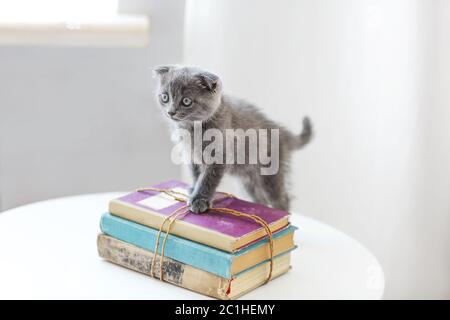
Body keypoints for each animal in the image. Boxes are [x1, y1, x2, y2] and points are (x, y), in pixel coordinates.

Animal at [153, 65, 312, 212]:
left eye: (186, 101)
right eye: (165, 97)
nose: (171, 112)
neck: (192, 129)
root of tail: (282, 131)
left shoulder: (220, 155)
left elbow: (208, 178)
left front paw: (199, 200)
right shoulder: (191, 155)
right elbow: (196, 174)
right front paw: (193, 189)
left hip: (270, 173)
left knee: (281, 198)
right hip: (248, 179)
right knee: (259, 198)